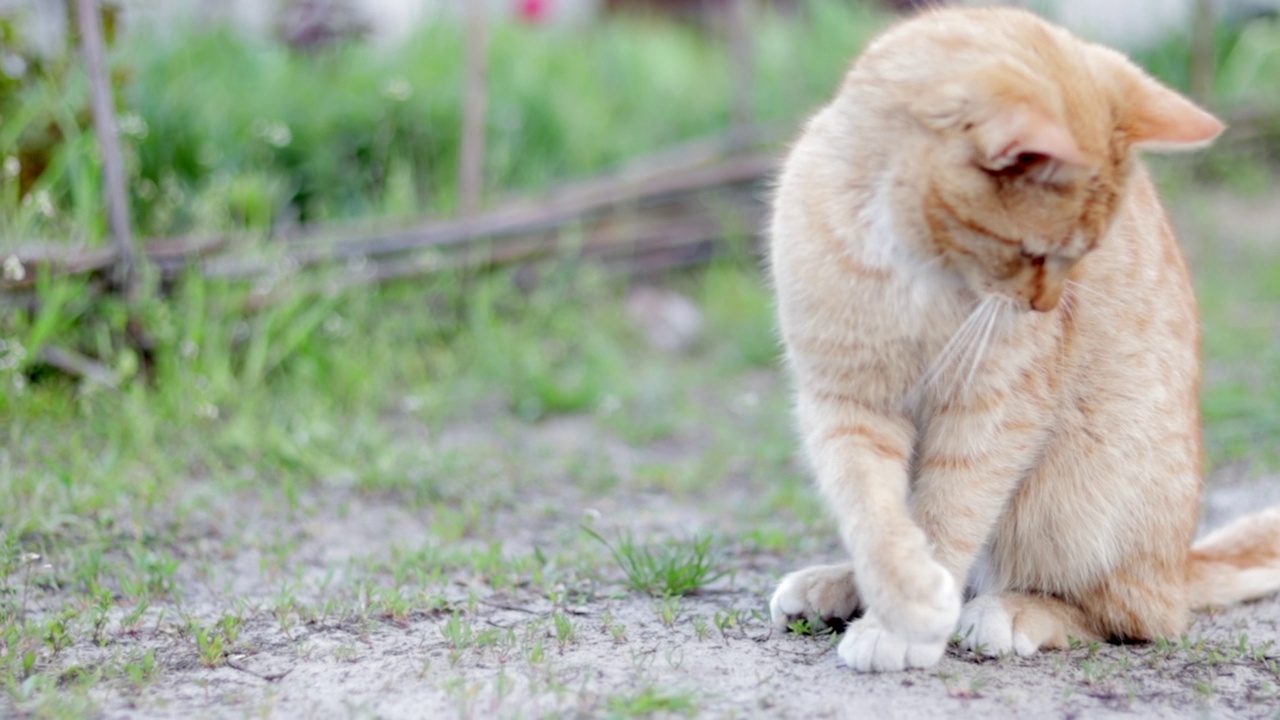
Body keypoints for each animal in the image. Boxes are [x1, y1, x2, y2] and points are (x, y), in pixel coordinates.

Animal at [762, 5, 1280, 671]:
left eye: (1083, 253)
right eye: (1038, 253)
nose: (1048, 305)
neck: (911, 264)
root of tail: (1177, 564)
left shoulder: (993, 410)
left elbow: (946, 513)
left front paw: (904, 624)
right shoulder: (846, 402)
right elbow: (875, 513)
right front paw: (900, 598)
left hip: (1077, 496)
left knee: (1133, 618)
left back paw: (1012, 611)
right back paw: (838, 586)